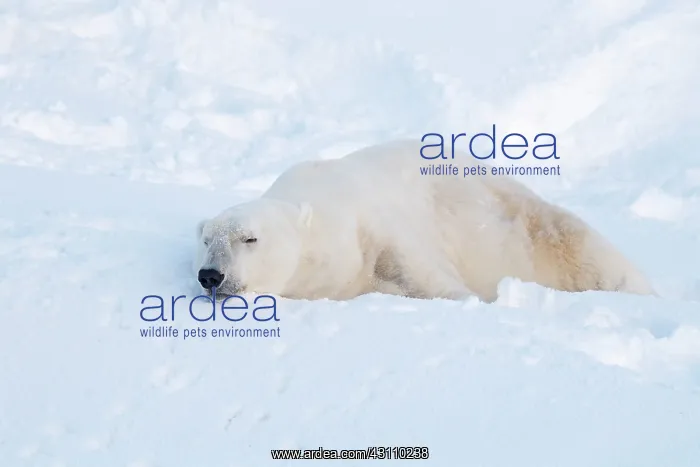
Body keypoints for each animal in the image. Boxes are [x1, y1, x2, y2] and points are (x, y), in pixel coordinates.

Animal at [194, 139, 655, 302]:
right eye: (206, 241)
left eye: (249, 239)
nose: (211, 275)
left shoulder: (381, 228)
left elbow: (432, 279)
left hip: (522, 215)